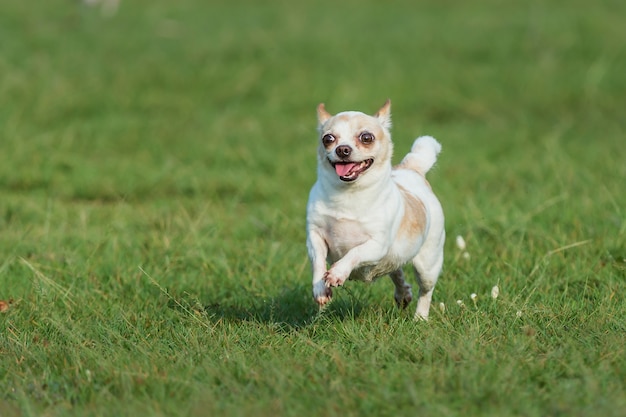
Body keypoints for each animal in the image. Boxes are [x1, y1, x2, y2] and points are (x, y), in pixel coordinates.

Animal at [306, 100, 444, 318]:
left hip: (428, 264)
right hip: (396, 257)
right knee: (396, 270)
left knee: (425, 291)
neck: (348, 194)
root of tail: (411, 169)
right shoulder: (315, 236)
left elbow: (354, 253)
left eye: (366, 137)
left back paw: (420, 317)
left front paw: (338, 272)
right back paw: (403, 293)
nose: (342, 149)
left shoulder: (377, 244)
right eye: (328, 139)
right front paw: (320, 289)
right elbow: (318, 261)